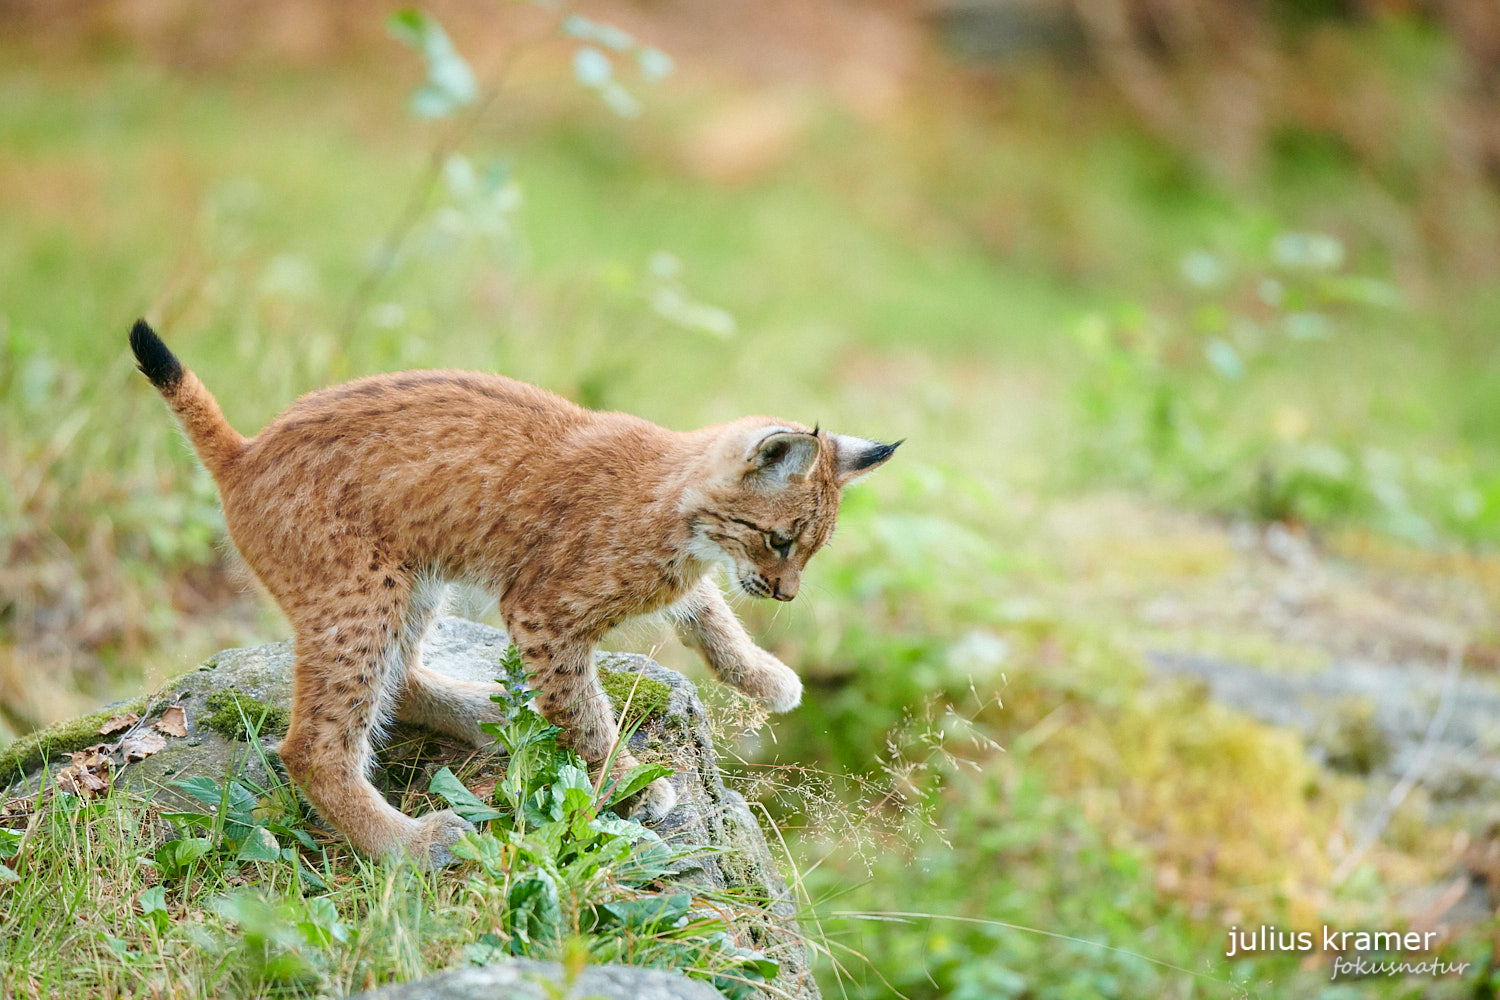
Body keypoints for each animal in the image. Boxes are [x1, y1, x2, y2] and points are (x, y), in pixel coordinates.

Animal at [129, 322, 894, 869]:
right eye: (781, 541)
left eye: (808, 549)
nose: (785, 596)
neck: (681, 504)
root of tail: (247, 449)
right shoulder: (543, 613)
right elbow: (584, 709)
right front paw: (629, 781)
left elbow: (709, 611)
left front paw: (767, 678)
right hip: (361, 591)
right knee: (311, 746)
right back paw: (408, 844)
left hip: (407, 579)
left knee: (400, 680)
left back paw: (487, 712)